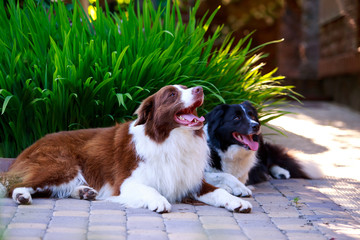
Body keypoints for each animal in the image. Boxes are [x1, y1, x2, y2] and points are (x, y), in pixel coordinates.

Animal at [6, 85, 253, 213]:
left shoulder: (191, 180)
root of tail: (32, 145)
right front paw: (158, 201)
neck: (170, 140)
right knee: (13, 184)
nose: (200, 89)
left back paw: (84, 191)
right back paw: (22, 195)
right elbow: (150, 189)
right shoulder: (127, 182)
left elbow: (219, 190)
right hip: (63, 165)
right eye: (172, 94)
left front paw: (237, 201)